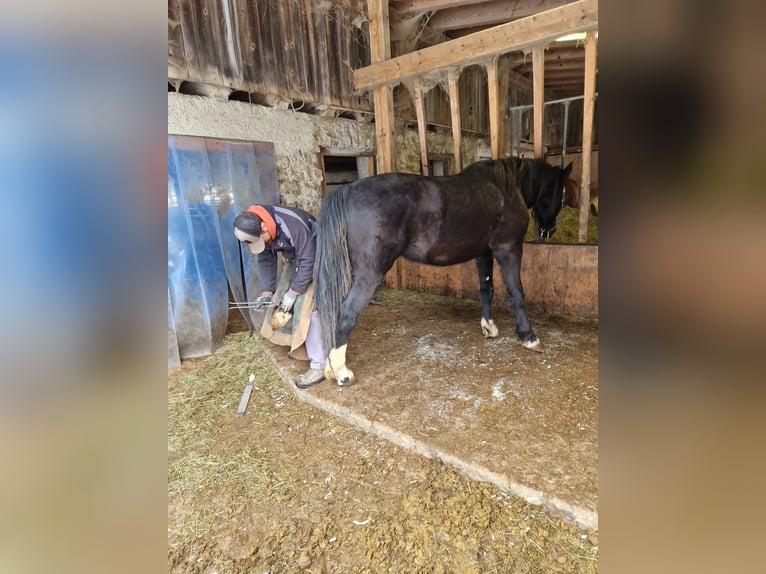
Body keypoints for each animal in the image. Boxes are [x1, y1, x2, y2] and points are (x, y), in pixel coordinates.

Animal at [312, 158, 568, 388]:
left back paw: (330, 368)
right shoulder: (508, 249)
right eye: (563, 193)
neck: (504, 189)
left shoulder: (484, 253)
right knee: (346, 312)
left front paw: (489, 328)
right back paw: (342, 373)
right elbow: (516, 293)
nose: (550, 229)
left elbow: (486, 289)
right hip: (370, 274)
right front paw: (528, 337)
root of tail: (349, 190)